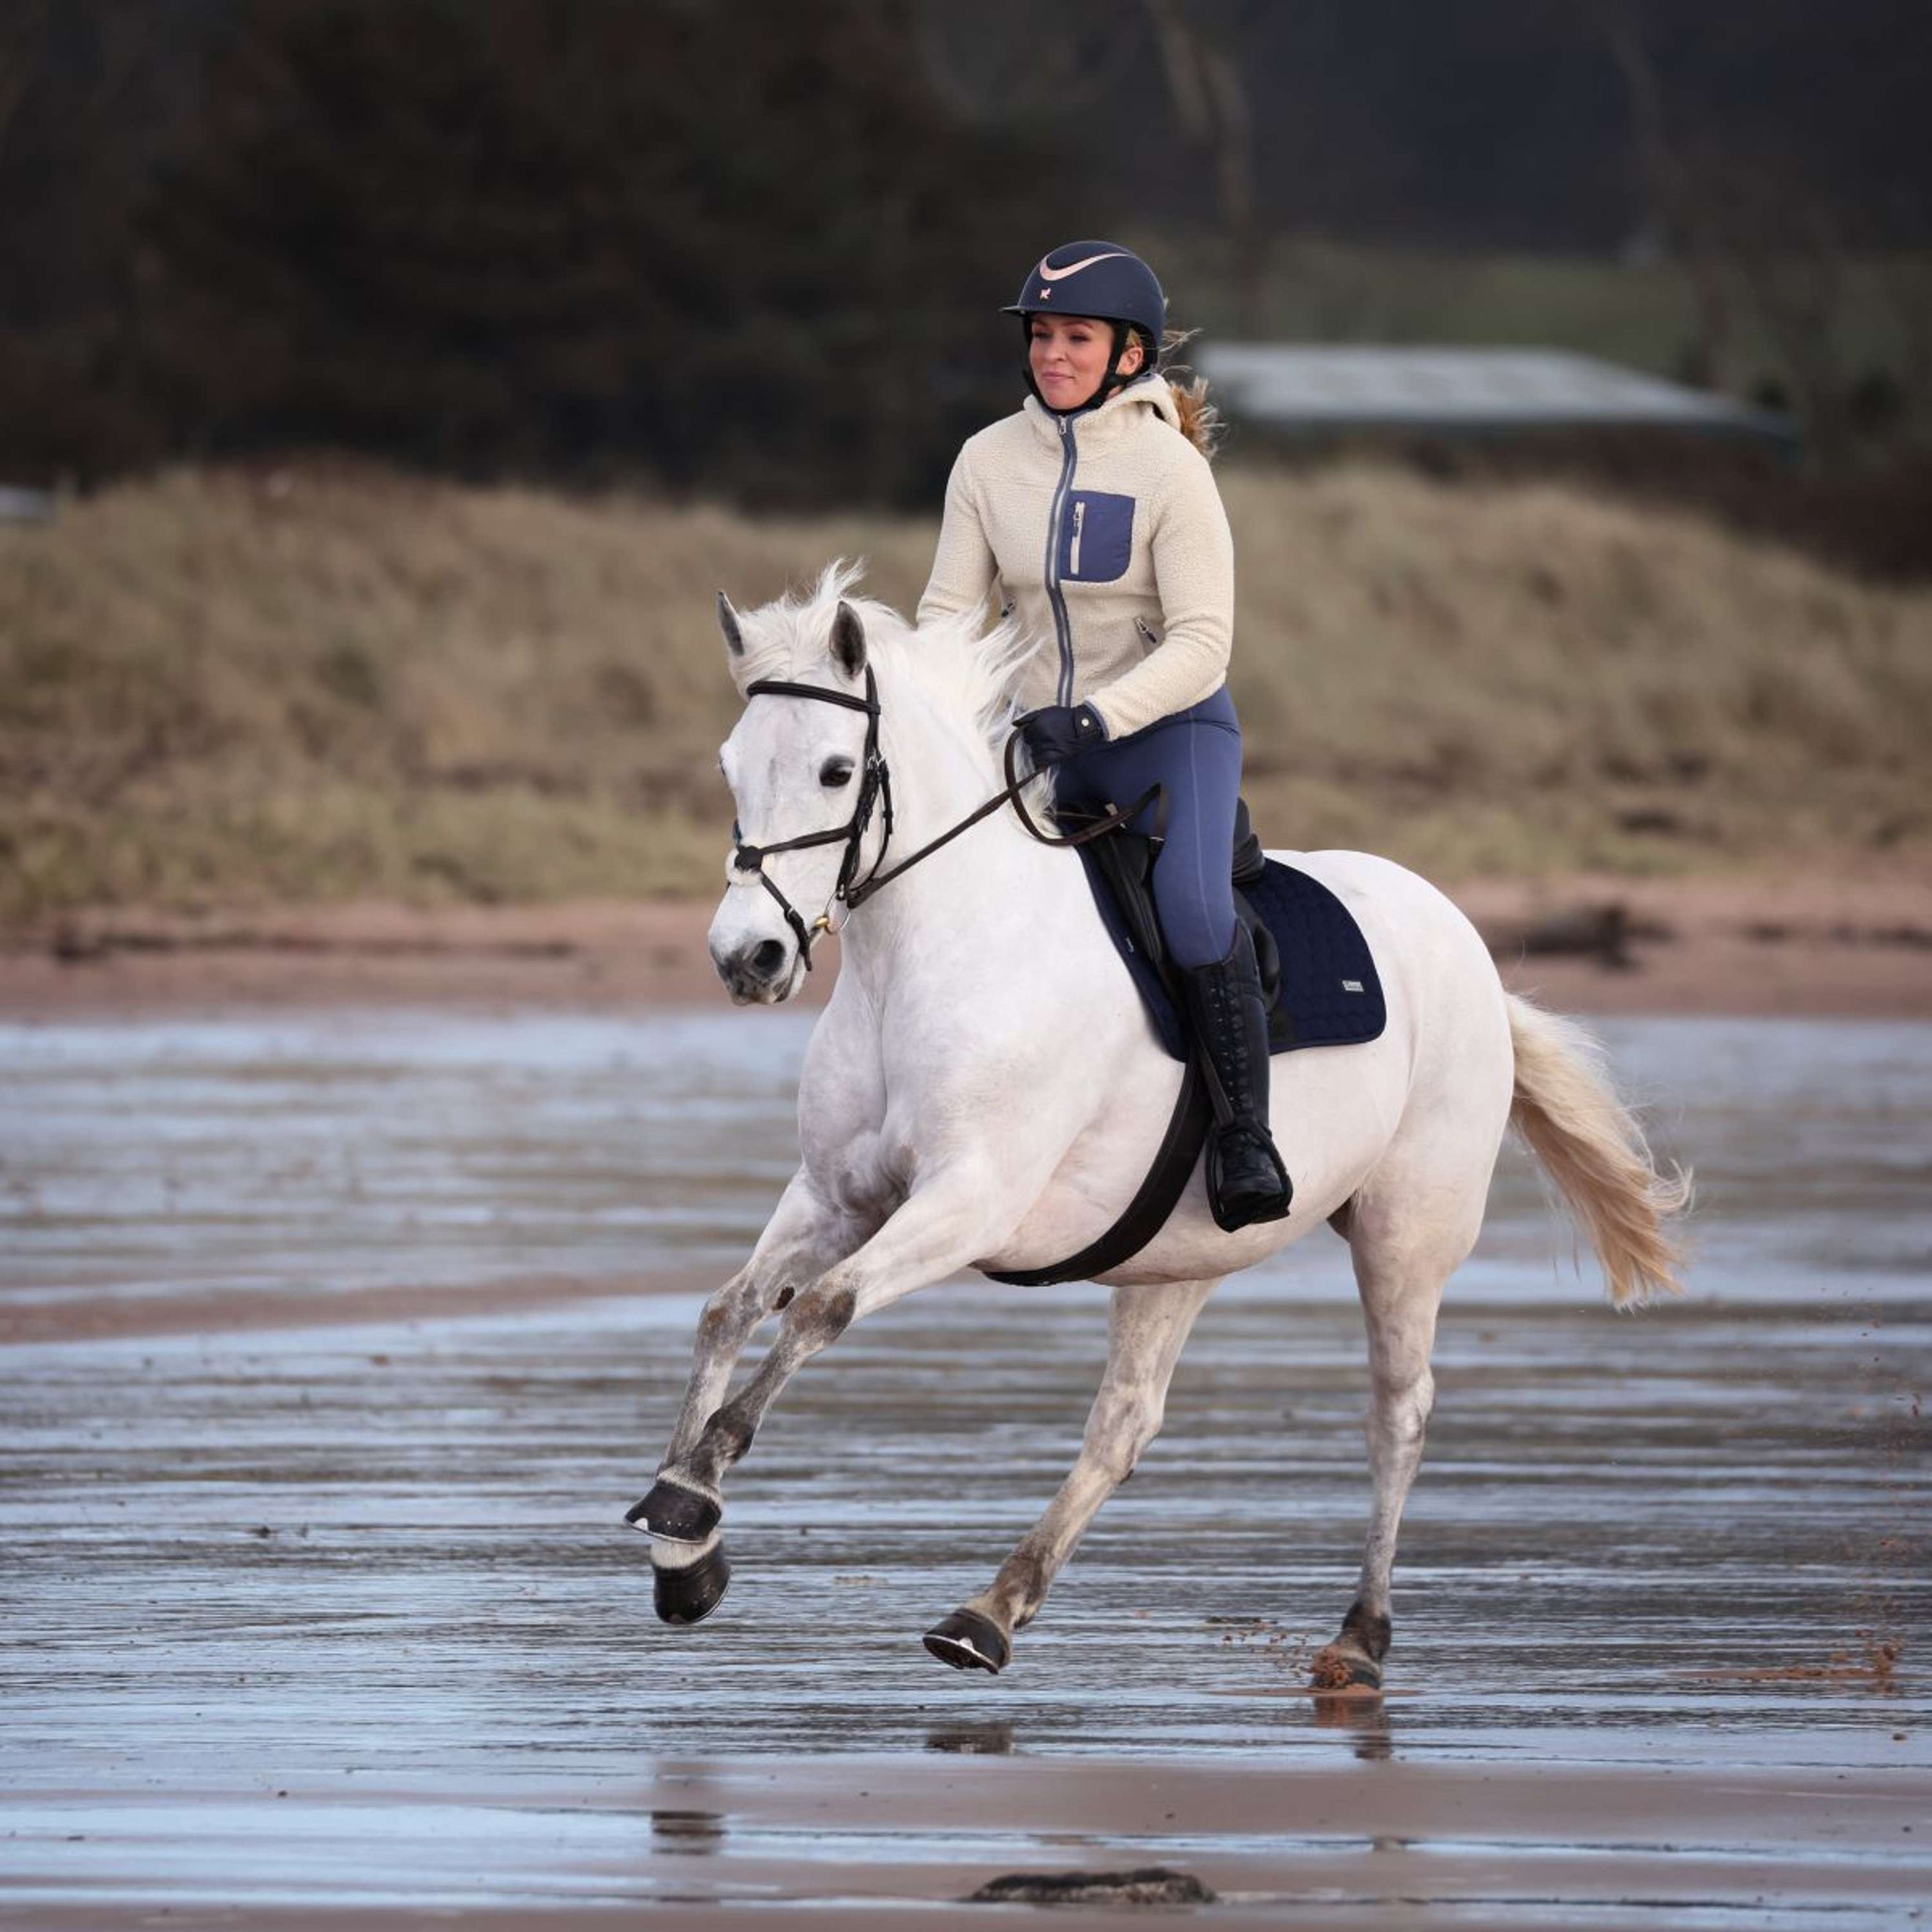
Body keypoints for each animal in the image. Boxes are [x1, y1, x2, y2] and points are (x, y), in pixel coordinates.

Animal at [633, 564, 1692, 1692]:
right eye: (731, 766)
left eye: (837, 772)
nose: (746, 958)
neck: (935, 953)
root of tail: (1468, 947)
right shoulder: (837, 1193)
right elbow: (728, 1312)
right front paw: (684, 1545)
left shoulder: (968, 1200)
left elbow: (820, 1311)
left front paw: (696, 1487)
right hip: (1178, 1257)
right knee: (1126, 1425)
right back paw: (989, 1612)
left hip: (1408, 1235)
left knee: (1397, 1413)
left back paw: (1359, 1638)